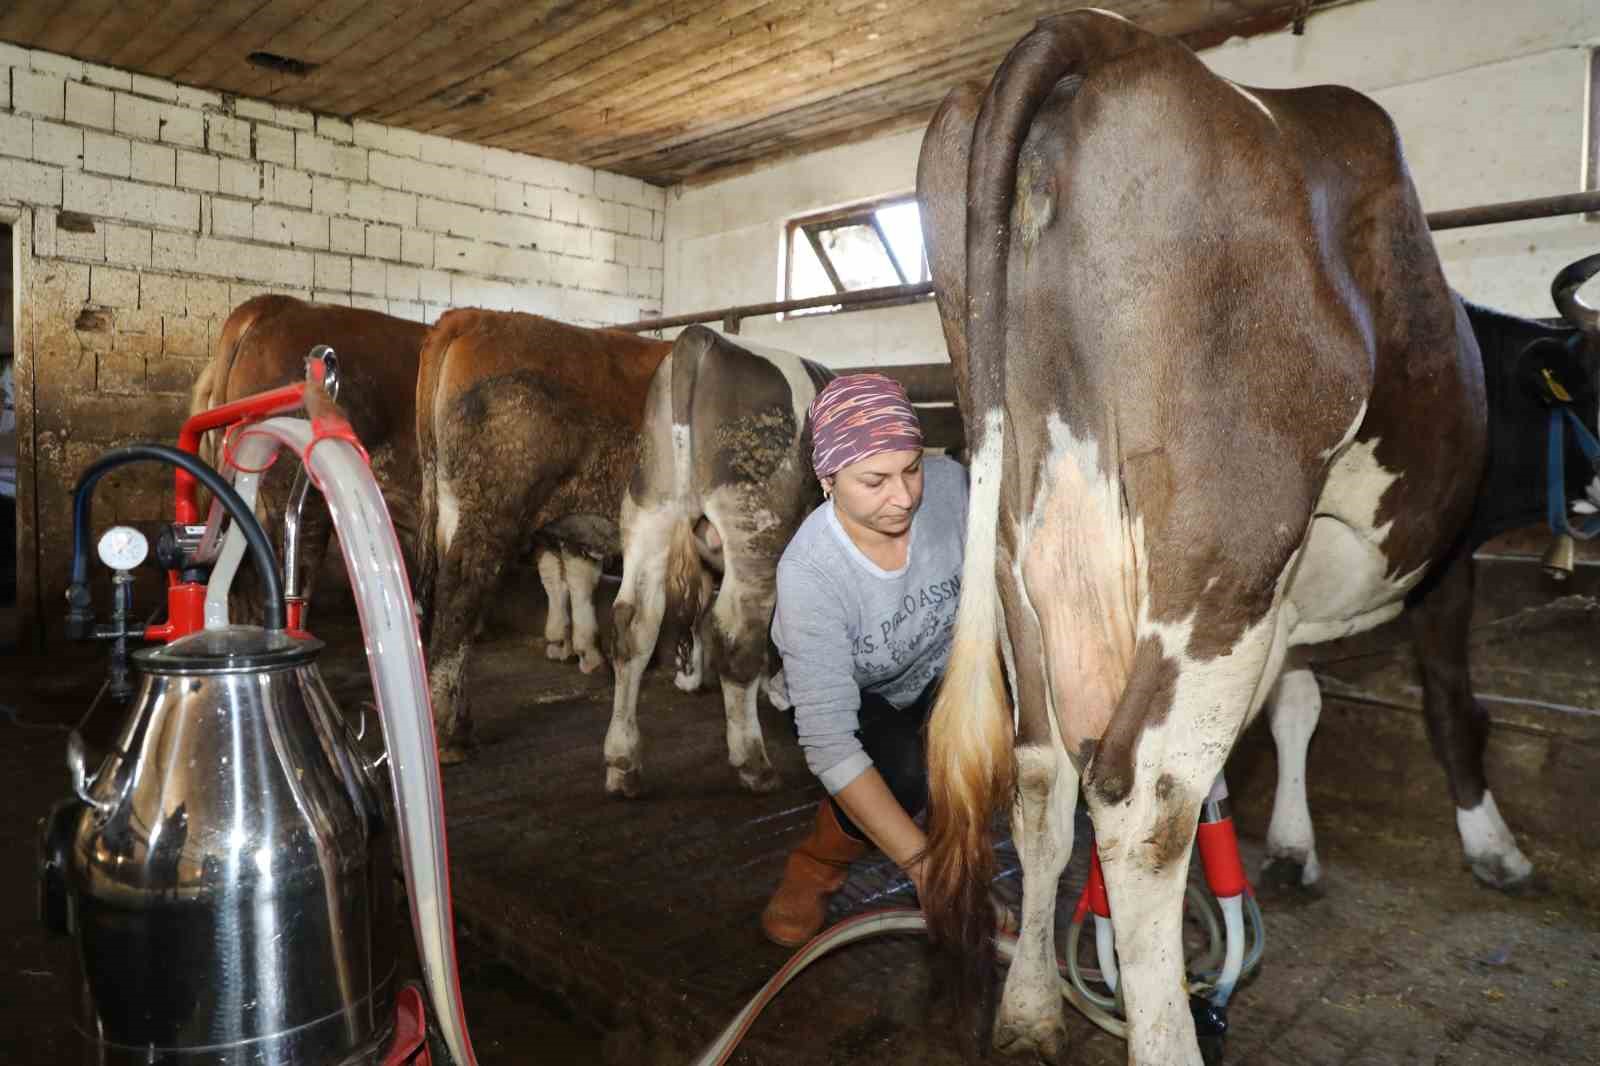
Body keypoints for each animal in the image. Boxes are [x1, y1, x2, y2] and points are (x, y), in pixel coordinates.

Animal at [601, 328, 825, 793]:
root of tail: (702, 336)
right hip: (756, 525)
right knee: (738, 633)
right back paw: (753, 761)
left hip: (649, 507)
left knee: (634, 624)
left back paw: (622, 761)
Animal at [915, 12, 1510, 1056]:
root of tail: (1097, 32)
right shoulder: (1440, 563)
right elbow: (1447, 698)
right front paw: (1490, 843)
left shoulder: (1292, 599)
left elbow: (1297, 701)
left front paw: (1293, 845)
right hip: (1224, 552)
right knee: (1145, 799)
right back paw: (1168, 1037)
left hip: (1024, 545)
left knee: (1040, 775)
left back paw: (1029, 1010)